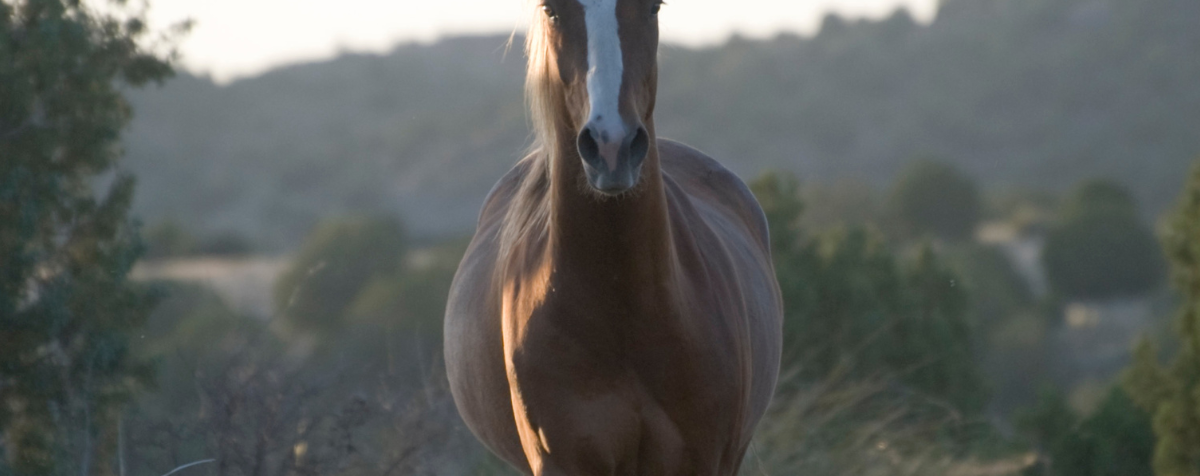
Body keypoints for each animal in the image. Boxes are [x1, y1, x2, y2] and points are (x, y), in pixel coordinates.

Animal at [443, 1, 783, 474]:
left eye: (653, 7)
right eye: (552, 10)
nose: (611, 146)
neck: (624, 307)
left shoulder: (701, 458)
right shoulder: (564, 460)